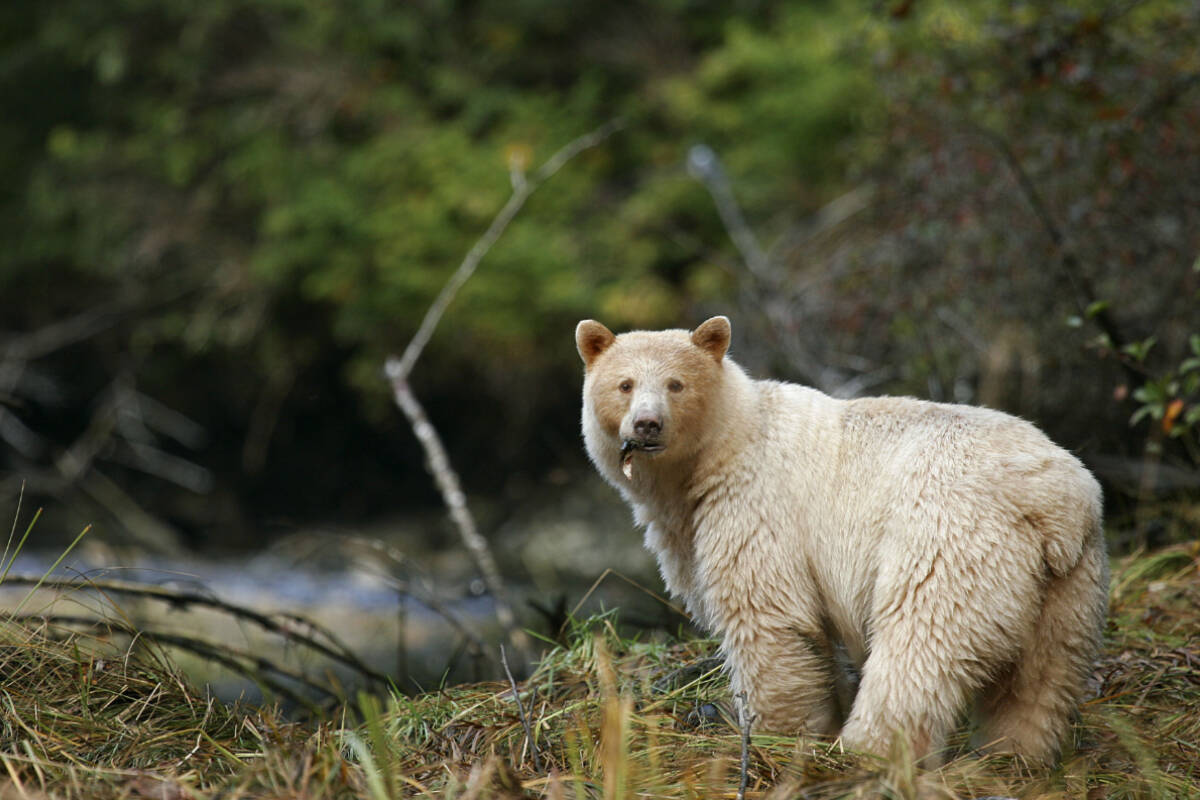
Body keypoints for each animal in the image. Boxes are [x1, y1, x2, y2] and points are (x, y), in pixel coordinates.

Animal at [575, 315, 1108, 764]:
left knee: (920, 645)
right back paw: (1013, 753)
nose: (647, 424)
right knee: (1041, 676)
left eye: (676, 384)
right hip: (1069, 581)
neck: (721, 449)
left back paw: (867, 749)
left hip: (950, 538)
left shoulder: (757, 504)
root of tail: (1054, 501)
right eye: (625, 384)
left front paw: (774, 736)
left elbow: (768, 617)